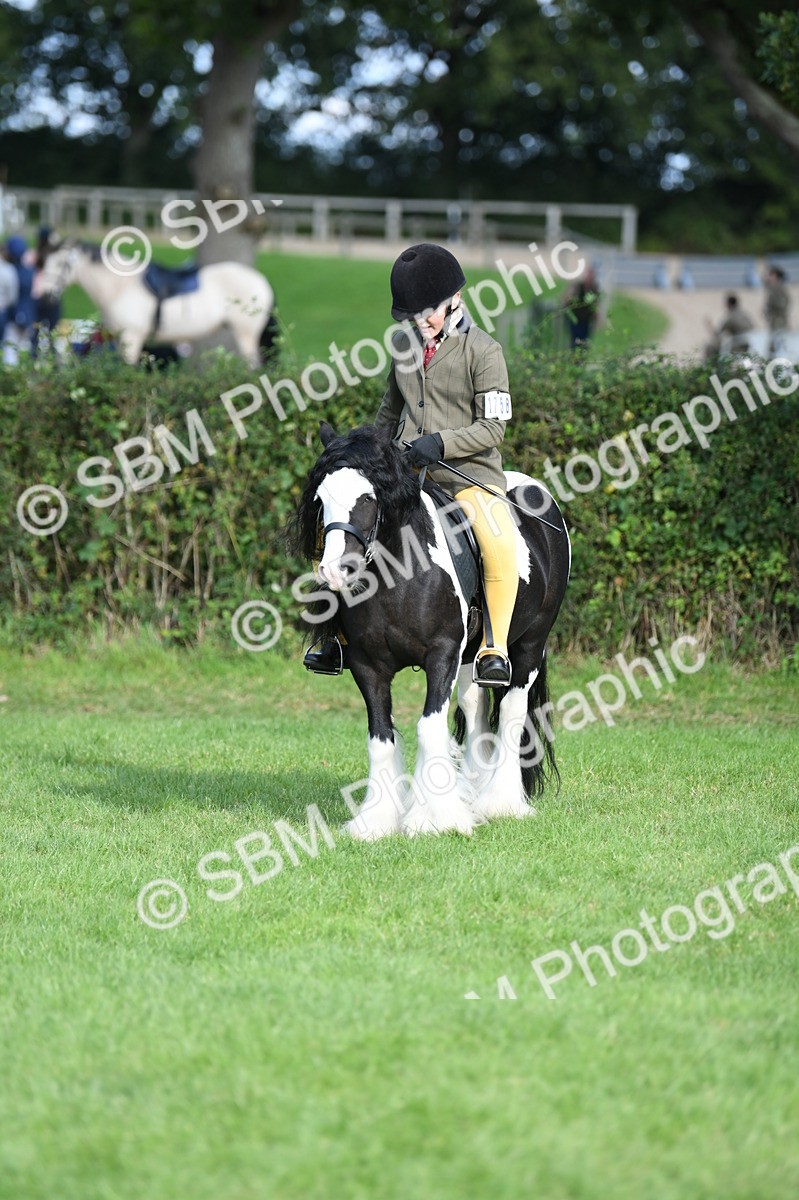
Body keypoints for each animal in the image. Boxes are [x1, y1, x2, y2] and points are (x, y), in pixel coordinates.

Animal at [37, 239, 276, 367]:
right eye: (43, 262)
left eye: (59, 264)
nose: (43, 294)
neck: (120, 286)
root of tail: (262, 281)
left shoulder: (132, 337)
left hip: (246, 334)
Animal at [290, 421, 571, 840]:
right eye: (320, 499)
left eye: (369, 498)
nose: (334, 572)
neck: (400, 575)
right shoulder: (367, 664)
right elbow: (381, 738)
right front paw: (375, 821)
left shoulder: (442, 654)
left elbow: (428, 728)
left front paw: (435, 818)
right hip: (474, 656)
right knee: (475, 705)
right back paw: (474, 793)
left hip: (530, 646)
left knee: (512, 711)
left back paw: (500, 803)